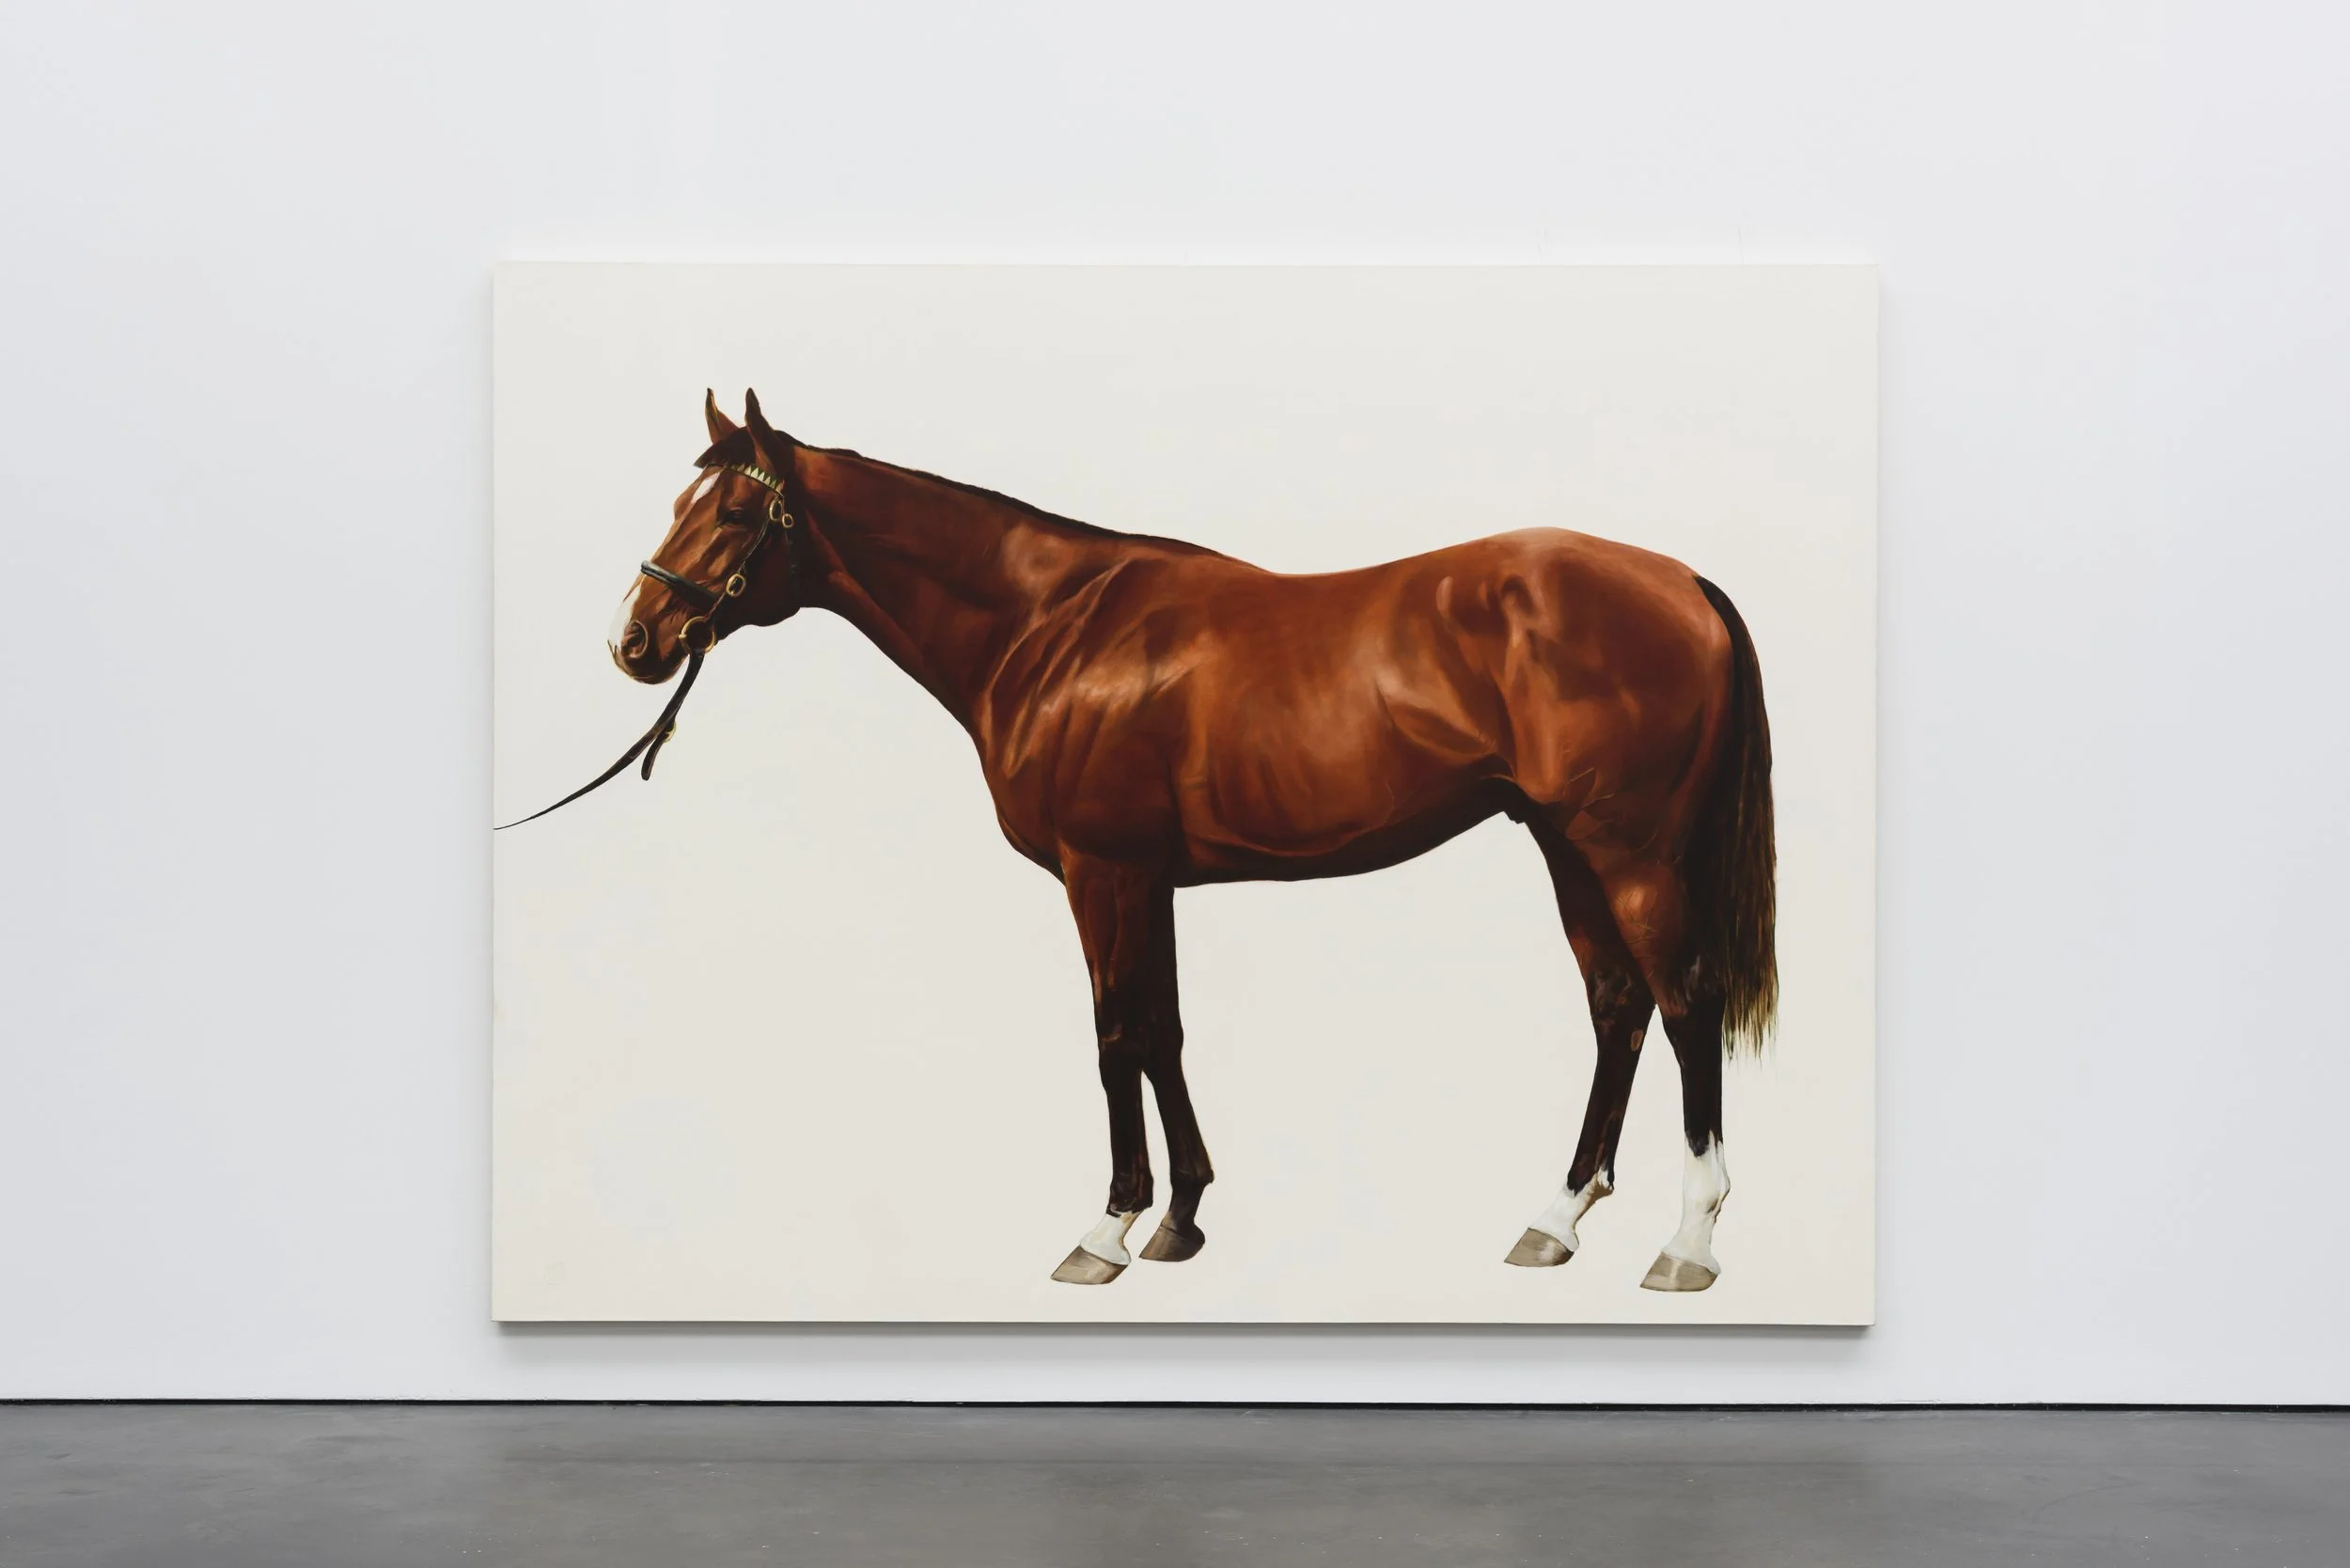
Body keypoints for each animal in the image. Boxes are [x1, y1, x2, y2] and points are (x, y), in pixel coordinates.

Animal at [556, 388, 1776, 1293]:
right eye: (683, 497)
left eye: (731, 514)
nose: (634, 639)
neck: (1052, 626)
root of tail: (1684, 583)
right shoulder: (1151, 881)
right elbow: (1164, 1032)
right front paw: (1180, 1220)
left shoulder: (1101, 873)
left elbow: (1113, 1037)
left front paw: (1105, 1232)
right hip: (1565, 846)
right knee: (1616, 1008)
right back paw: (1554, 1219)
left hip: (1628, 854)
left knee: (1683, 1004)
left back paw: (1687, 1244)